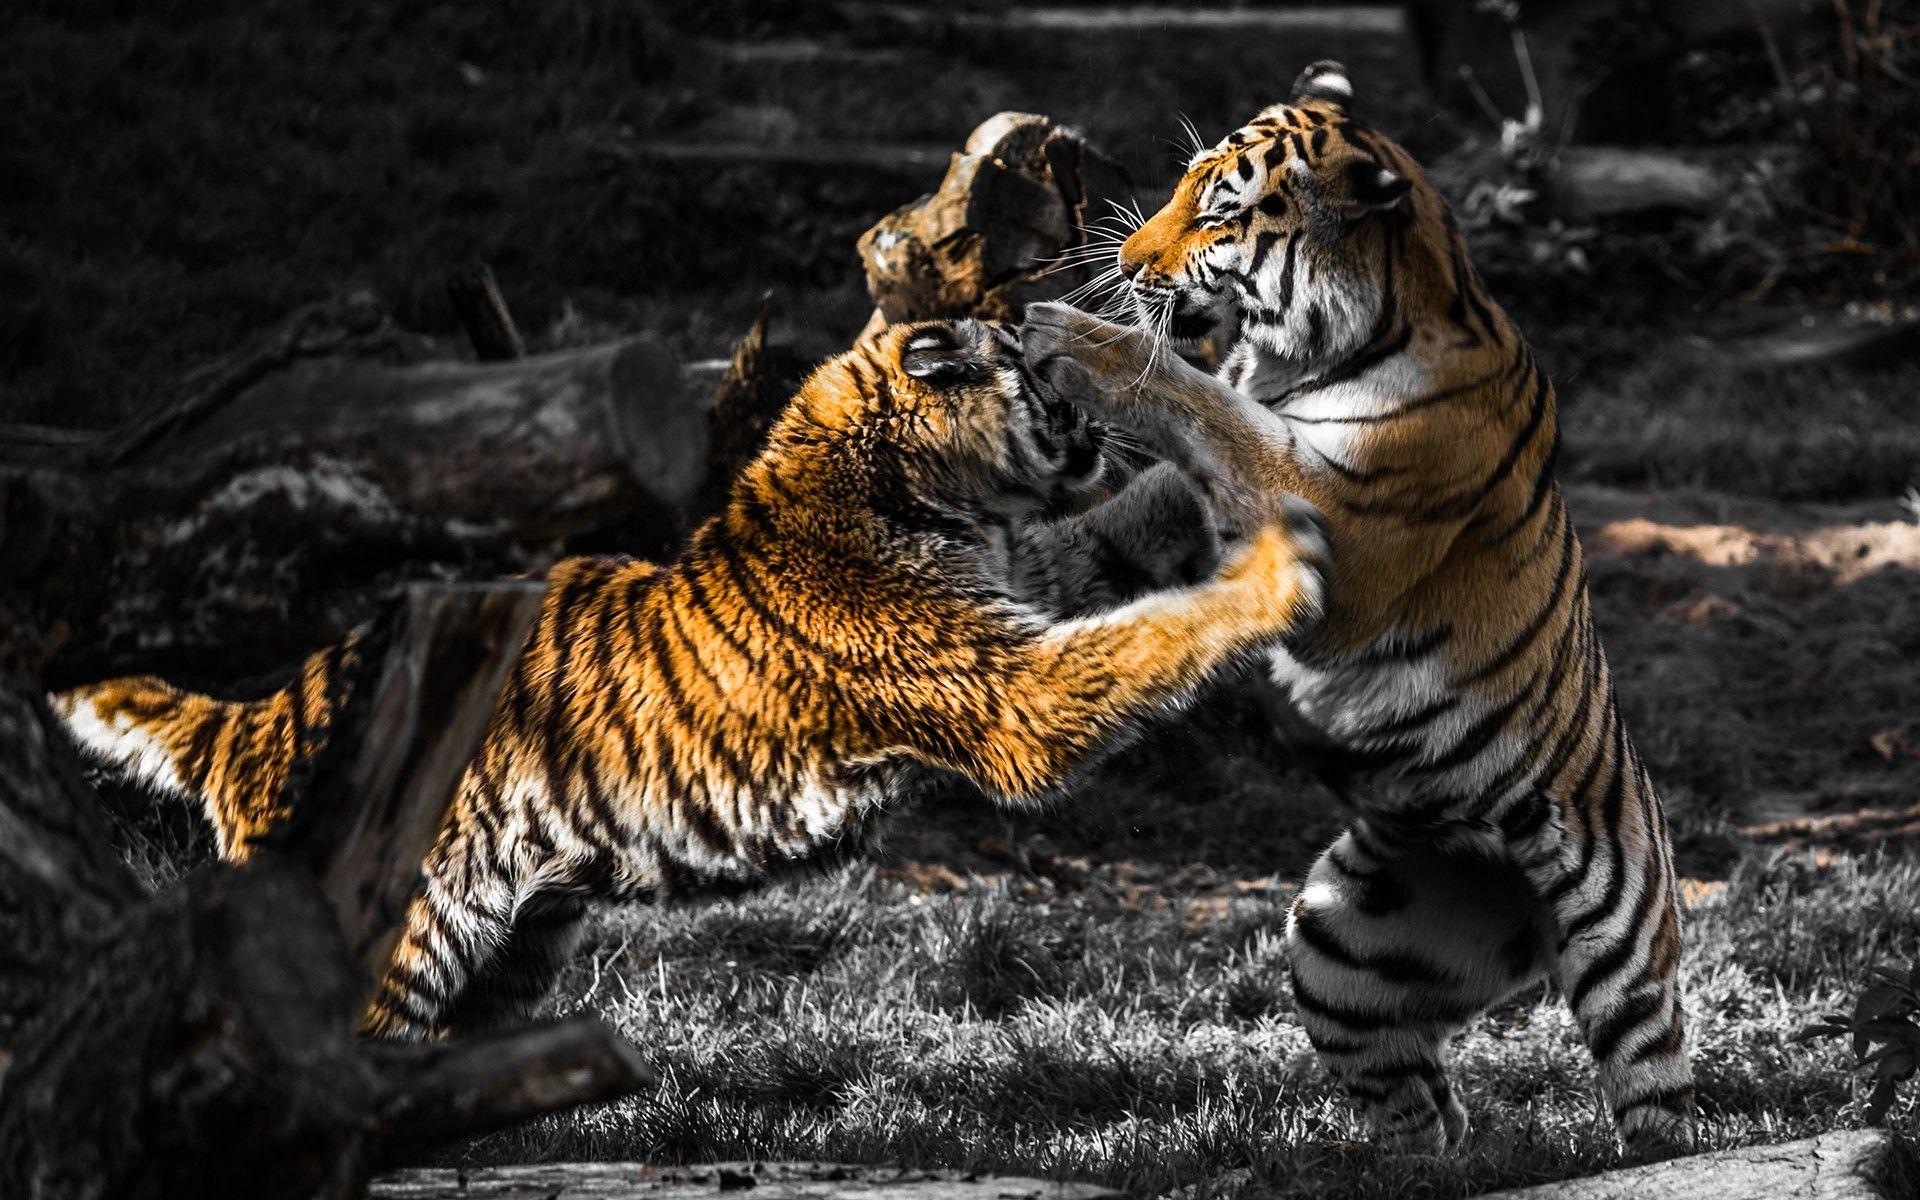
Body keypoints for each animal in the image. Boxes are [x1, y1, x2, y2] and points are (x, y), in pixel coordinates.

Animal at [57, 317, 1329, 1041]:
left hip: (510, 946)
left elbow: (1127, 540)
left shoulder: (1035, 581)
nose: (1076, 390)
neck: (944, 498)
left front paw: (1233, 467)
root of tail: (249, 724)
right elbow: (1149, 637)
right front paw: (1275, 566)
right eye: (1030, 369)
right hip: (389, 938)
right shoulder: (1011, 690)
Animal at [1017, 62, 1693, 1154]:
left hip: (1622, 947)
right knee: (1423, 1107)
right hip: (1344, 939)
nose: (1122, 259)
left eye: (1218, 210)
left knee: (1657, 1096)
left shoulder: (1339, 531)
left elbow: (1205, 407)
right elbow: (1134, 511)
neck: (1295, 362)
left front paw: (1079, 340)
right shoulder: (1195, 510)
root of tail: (1527, 916)